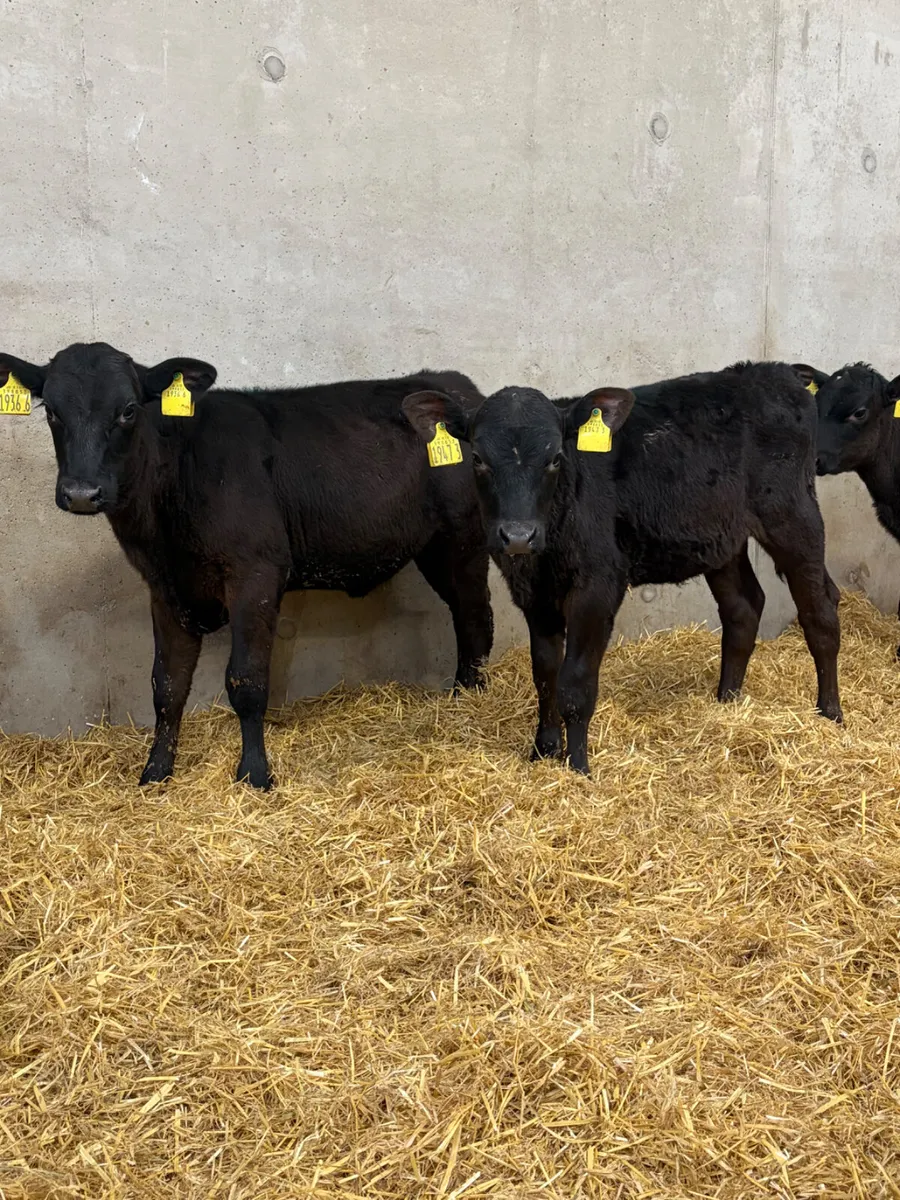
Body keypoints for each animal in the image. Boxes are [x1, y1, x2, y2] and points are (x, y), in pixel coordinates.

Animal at [0, 343, 493, 789]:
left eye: (127, 410)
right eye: (52, 411)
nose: (82, 493)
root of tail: (455, 386)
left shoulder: (255, 574)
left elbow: (247, 680)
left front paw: (254, 774)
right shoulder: (164, 588)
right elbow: (167, 685)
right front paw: (156, 772)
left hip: (462, 543)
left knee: (475, 618)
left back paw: (469, 698)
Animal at [402, 362, 842, 775]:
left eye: (555, 459)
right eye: (477, 458)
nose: (517, 535)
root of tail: (774, 372)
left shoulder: (597, 586)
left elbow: (576, 681)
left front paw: (578, 767)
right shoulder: (533, 593)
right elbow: (545, 674)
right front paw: (542, 752)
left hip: (793, 516)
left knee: (820, 614)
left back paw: (830, 713)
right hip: (721, 539)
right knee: (743, 609)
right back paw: (727, 703)